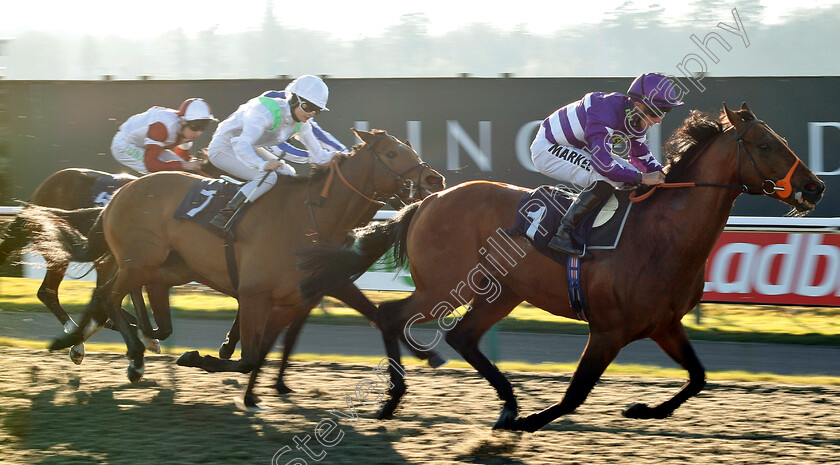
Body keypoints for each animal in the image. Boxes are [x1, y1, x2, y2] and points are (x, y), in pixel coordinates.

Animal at [31, 128, 446, 406]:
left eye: (408, 148)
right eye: (391, 153)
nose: (433, 178)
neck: (311, 219)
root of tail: (120, 193)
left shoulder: (310, 291)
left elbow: (361, 315)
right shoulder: (254, 293)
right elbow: (249, 357)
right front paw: (203, 360)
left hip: (158, 266)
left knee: (113, 296)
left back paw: (116, 342)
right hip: (140, 261)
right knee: (106, 295)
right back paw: (124, 350)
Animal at [296, 103, 828, 430]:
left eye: (780, 139)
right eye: (764, 145)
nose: (815, 187)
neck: (662, 236)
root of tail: (429, 199)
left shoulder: (663, 324)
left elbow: (698, 378)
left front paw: (643, 410)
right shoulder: (608, 330)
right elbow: (575, 394)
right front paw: (535, 421)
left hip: (501, 291)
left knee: (463, 336)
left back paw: (507, 405)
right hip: (443, 286)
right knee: (393, 317)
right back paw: (394, 399)